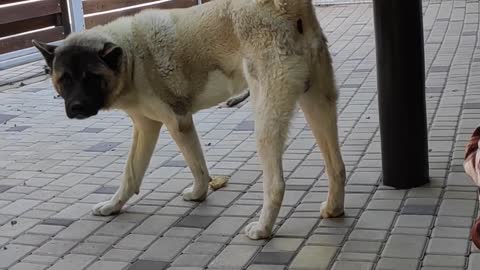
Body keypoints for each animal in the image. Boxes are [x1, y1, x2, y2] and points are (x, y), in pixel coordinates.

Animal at [32, 0, 344, 240]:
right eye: (64, 79)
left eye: (91, 78)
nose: (76, 107)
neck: (130, 57)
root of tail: (284, 9)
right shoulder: (148, 126)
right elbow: (134, 172)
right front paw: (114, 206)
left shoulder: (176, 123)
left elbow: (194, 165)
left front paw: (198, 193)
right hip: (319, 107)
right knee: (337, 166)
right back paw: (334, 209)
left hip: (266, 122)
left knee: (276, 183)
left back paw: (263, 229)